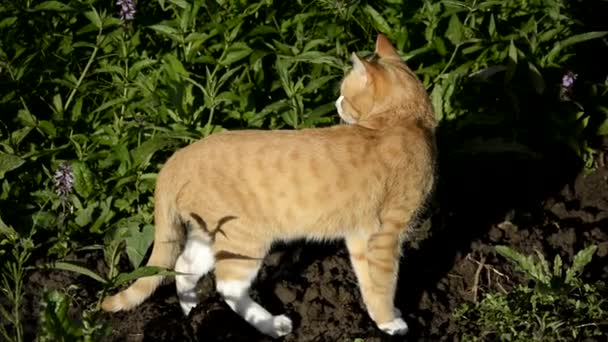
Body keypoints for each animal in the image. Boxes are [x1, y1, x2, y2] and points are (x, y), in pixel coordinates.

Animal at [104, 33, 436, 338]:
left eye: (345, 94)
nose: (336, 102)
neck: (401, 122)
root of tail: (177, 159)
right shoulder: (386, 234)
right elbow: (384, 281)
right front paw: (390, 323)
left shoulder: (360, 235)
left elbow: (370, 282)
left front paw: (383, 316)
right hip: (244, 240)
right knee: (228, 288)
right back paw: (272, 325)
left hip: (209, 234)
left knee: (184, 267)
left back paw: (191, 313)